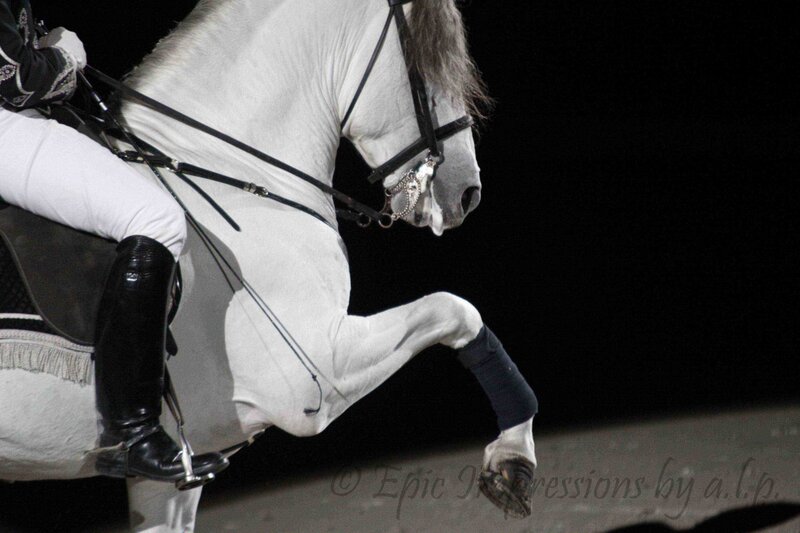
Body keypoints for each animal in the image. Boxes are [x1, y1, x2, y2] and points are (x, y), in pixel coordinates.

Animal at [0, 0, 538, 530]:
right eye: (428, 63)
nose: (467, 192)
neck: (225, 173)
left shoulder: (174, 479)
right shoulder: (314, 377)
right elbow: (454, 309)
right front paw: (513, 458)